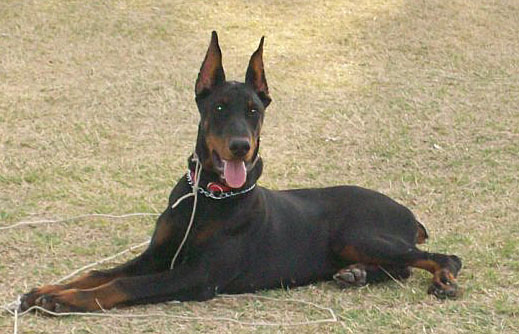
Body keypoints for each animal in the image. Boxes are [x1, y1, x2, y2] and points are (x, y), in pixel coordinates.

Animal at [20, 32, 464, 314]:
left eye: (254, 110)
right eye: (218, 108)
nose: (239, 146)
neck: (208, 195)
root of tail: (408, 213)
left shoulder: (199, 275)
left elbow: (121, 284)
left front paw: (64, 301)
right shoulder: (157, 255)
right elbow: (100, 272)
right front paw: (48, 289)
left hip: (359, 233)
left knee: (443, 258)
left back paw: (441, 280)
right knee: (401, 267)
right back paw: (354, 275)